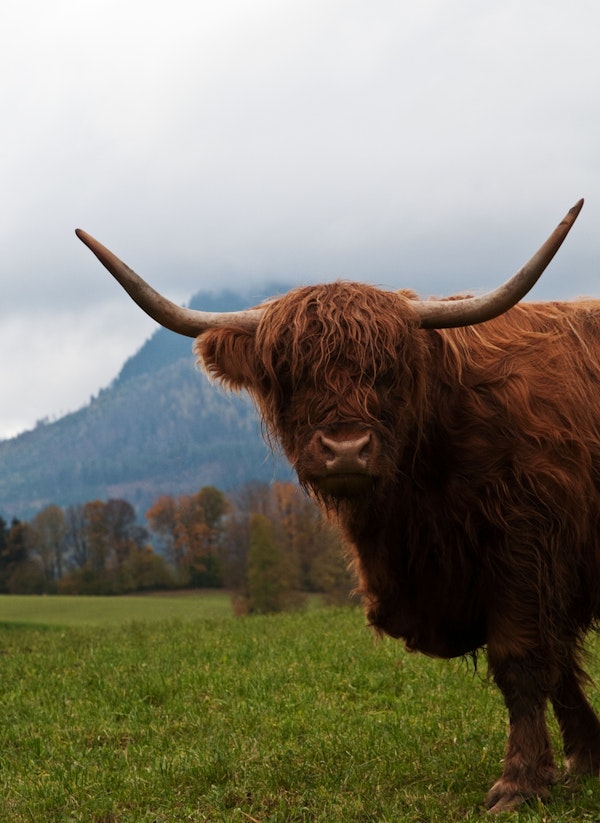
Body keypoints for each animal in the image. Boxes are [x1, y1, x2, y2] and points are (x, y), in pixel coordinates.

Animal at [75, 199, 599, 812]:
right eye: (288, 376)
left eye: (388, 371)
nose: (346, 449)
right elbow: (557, 666)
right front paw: (584, 758)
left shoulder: (525, 549)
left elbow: (522, 661)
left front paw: (520, 781)